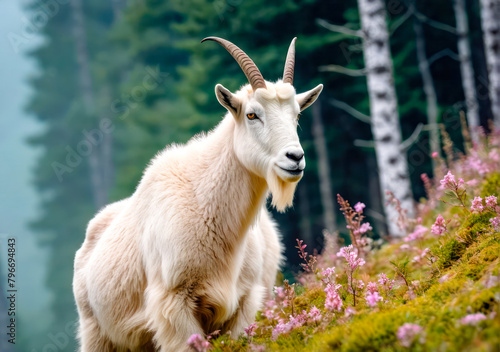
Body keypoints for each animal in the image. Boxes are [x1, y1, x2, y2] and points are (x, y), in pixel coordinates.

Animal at [74, 37, 324, 350]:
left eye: (297, 114)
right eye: (252, 114)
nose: (295, 158)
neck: (204, 201)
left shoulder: (244, 302)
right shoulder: (173, 303)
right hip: (95, 330)